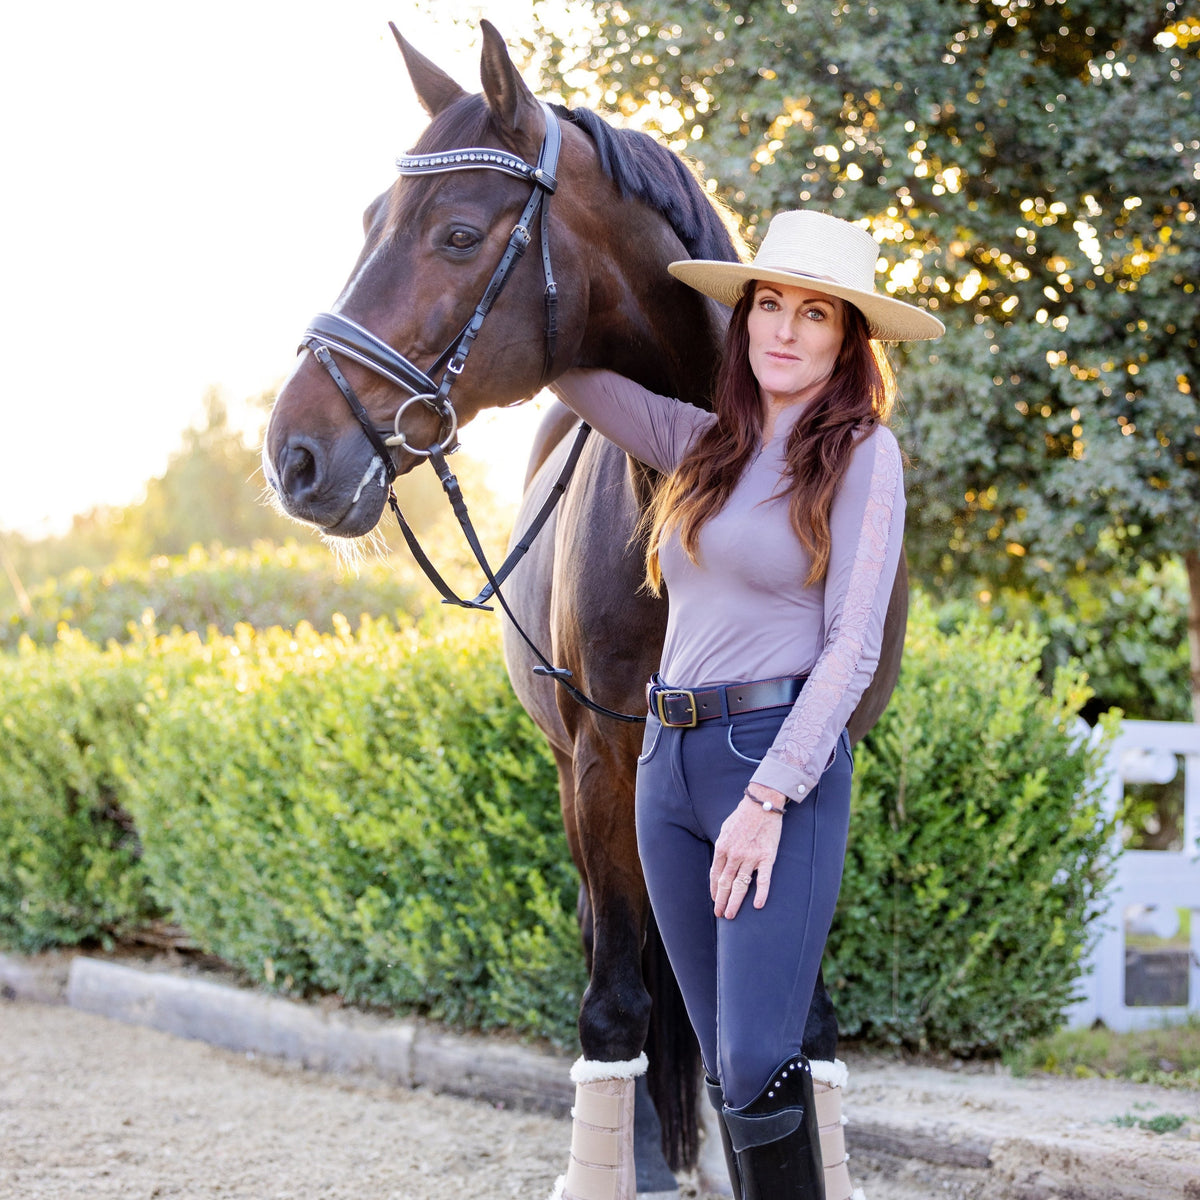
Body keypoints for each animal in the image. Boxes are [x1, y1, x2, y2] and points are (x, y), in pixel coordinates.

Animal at [260, 21, 902, 1200]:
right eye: (370, 223)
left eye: (459, 234)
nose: (297, 455)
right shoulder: (605, 763)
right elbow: (614, 1006)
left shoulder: (822, 757)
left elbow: (794, 1018)